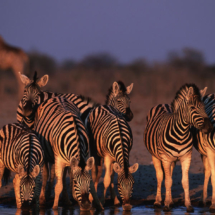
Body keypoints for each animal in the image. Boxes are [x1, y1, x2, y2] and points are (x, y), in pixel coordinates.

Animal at [86, 82, 138, 212]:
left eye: (133, 184)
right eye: (120, 185)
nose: (127, 206)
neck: (120, 139)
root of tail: (103, 106)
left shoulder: (122, 155)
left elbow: (112, 175)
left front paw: (115, 200)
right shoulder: (108, 157)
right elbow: (106, 180)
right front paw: (102, 202)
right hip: (94, 150)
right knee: (95, 172)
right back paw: (91, 199)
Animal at [144, 83, 212, 212]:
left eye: (204, 107)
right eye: (192, 108)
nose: (209, 127)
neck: (180, 134)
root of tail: (162, 103)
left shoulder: (186, 157)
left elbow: (184, 182)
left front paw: (188, 205)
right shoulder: (165, 158)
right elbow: (167, 181)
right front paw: (165, 205)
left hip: (172, 160)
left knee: (168, 175)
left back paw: (170, 201)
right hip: (155, 156)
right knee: (160, 177)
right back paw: (158, 202)